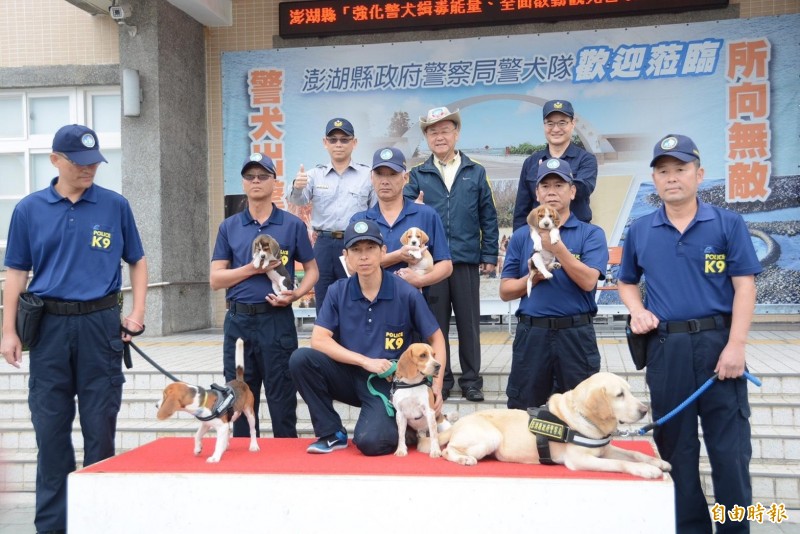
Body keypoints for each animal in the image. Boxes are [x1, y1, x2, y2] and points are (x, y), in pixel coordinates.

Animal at [428, 372, 672, 482]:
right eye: (619, 395)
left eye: (630, 391)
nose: (645, 410)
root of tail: (459, 423)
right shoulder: (580, 460)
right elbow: (620, 463)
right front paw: (647, 470)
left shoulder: (605, 449)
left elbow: (634, 454)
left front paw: (658, 462)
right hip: (490, 437)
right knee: (448, 451)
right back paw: (463, 459)